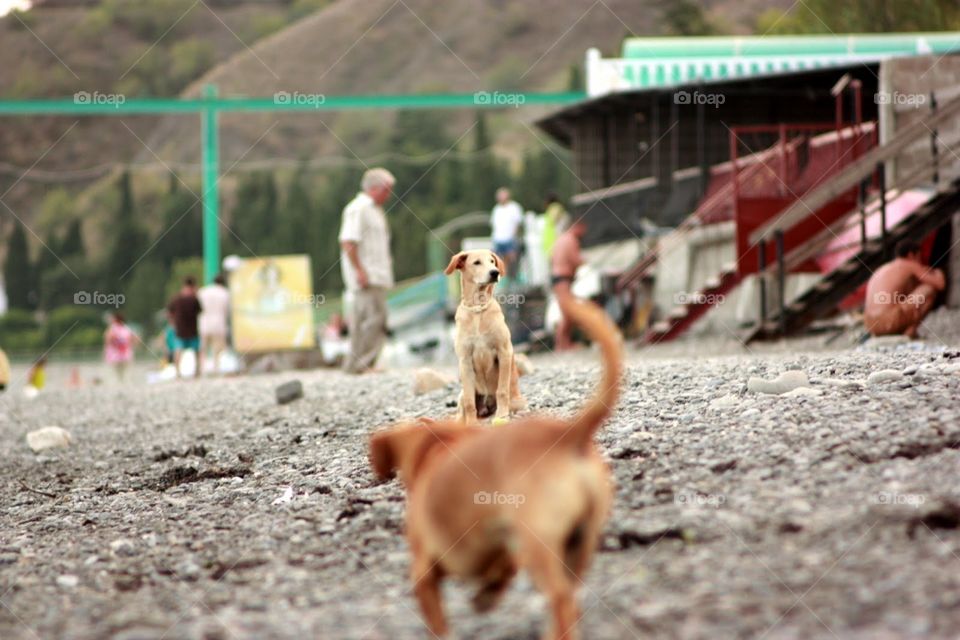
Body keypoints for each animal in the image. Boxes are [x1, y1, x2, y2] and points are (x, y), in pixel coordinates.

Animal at [368, 296, 624, 640]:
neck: (436, 446)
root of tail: (568, 435)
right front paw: (486, 594)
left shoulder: (424, 571)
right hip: (577, 544)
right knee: (570, 596)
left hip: (538, 541)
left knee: (560, 599)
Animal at [446, 250, 528, 424]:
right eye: (477, 262)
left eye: (492, 262)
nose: (495, 273)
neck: (478, 309)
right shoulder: (465, 360)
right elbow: (470, 402)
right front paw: (471, 423)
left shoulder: (504, 352)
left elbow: (502, 390)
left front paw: (502, 415)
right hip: (461, 395)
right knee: (463, 408)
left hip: (520, 401)